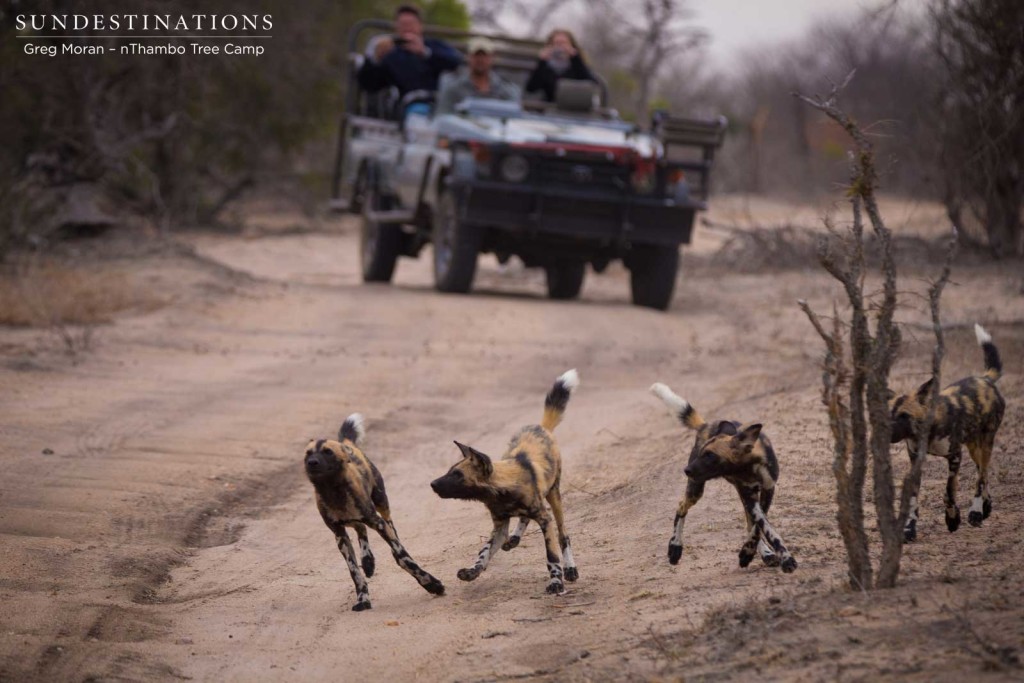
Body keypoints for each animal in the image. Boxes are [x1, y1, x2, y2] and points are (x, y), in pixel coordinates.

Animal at [305, 413, 446, 610]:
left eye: (328, 452)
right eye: (308, 453)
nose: (312, 463)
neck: (333, 492)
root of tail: (346, 443)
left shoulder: (377, 522)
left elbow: (403, 558)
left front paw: (431, 584)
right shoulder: (340, 535)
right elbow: (354, 572)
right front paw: (363, 599)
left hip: (381, 504)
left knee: (391, 530)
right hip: (358, 520)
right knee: (361, 529)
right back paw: (368, 561)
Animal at [428, 370, 581, 593]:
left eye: (457, 475)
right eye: (450, 471)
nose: (432, 483)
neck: (502, 492)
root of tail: (542, 427)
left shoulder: (545, 520)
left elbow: (552, 556)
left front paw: (555, 582)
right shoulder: (499, 526)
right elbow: (484, 552)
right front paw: (472, 571)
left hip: (554, 496)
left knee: (563, 535)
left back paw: (570, 568)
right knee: (525, 519)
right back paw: (515, 538)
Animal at [647, 385, 798, 573]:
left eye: (710, 455)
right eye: (702, 453)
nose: (686, 470)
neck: (747, 468)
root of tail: (706, 424)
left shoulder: (766, 490)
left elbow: (759, 527)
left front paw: (750, 553)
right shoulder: (749, 495)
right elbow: (765, 527)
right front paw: (784, 559)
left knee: (749, 524)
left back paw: (765, 554)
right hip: (696, 490)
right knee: (681, 507)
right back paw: (675, 547)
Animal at [892, 323, 1003, 540]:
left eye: (904, 416)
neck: (927, 430)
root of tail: (985, 379)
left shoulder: (955, 456)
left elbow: (948, 492)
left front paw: (952, 519)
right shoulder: (916, 461)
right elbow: (913, 498)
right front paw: (910, 527)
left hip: (984, 444)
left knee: (981, 476)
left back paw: (975, 512)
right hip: (973, 448)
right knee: (982, 473)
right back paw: (985, 507)